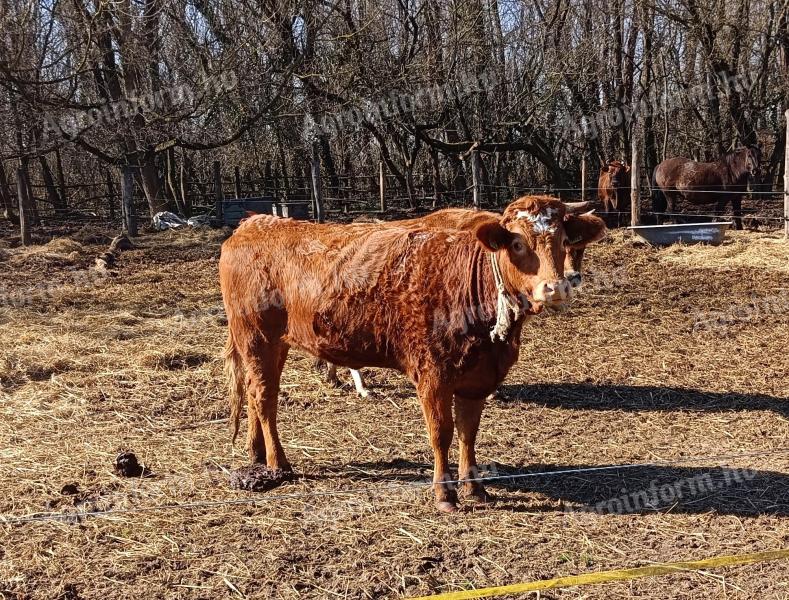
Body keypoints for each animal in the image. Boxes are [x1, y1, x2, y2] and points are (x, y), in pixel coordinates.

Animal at [219, 196, 608, 510]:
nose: (556, 287)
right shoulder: (433, 375)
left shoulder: (476, 380)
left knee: (254, 393)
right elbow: (442, 433)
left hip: (272, 343)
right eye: (516, 243)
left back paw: (257, 454)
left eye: (563, 240)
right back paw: (279, 464)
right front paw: (444, 494)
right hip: (256, 336)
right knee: (266, 399)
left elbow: (468, 432)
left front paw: (475, 488)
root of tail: (254, 224)